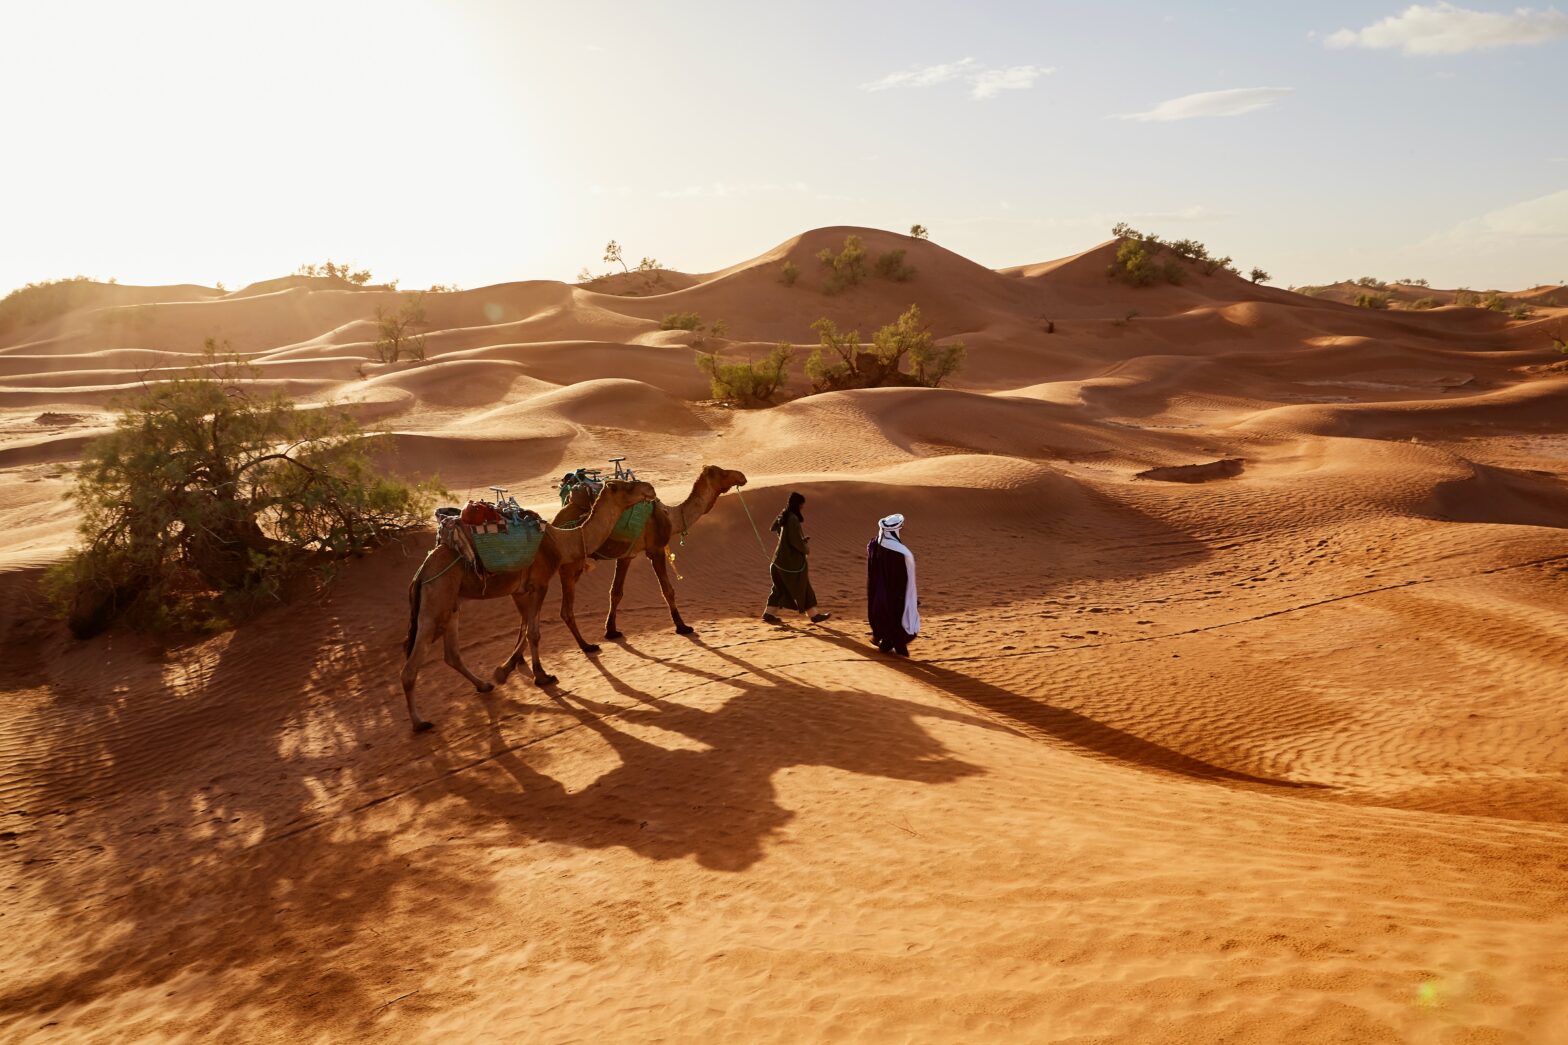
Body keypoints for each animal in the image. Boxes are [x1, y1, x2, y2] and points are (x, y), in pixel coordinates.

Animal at [404, 476, 655, 728]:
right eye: (626, 486)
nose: (650, 489)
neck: (559, 542)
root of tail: (421, 573)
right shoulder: (539, 584)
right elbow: (533, 632)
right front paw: (541, 676)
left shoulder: (520, 590)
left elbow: (525, 627)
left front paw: (506, 670)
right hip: (435, 599)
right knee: (411, 665)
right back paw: (419, 722)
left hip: (452, 602)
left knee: (452, 654)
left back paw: (483, 685)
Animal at [548, 464, 749, 652]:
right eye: (722, 472)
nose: (742, 476)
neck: (671, 516)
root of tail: (556, 523)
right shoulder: (656, 549)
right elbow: (668, 590)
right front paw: (682, 626)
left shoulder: (627, 555)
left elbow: (616, 592)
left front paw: (611, 631)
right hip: (571, 564)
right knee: (565, 609)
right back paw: (586, 646)